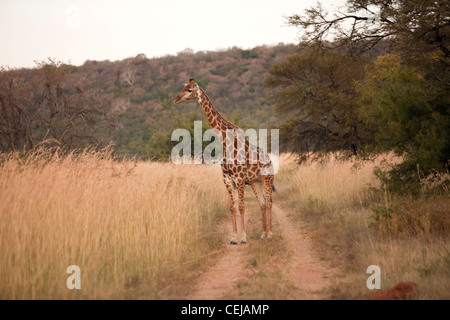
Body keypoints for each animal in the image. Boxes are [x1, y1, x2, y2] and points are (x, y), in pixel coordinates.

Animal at [175, 79, 274, 244]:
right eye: (183, 87)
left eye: (189, 90)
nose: (176, 99)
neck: (226, 142)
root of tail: (270, 160)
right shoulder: (227, 178)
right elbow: (232, 207)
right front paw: (234, 238)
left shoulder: (239, 178)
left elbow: (241, 206)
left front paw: (243, 238)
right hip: (256, 181)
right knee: (262, 203)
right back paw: (263, 234)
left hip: (267, 179)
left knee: (270, 201)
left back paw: (270, 234)